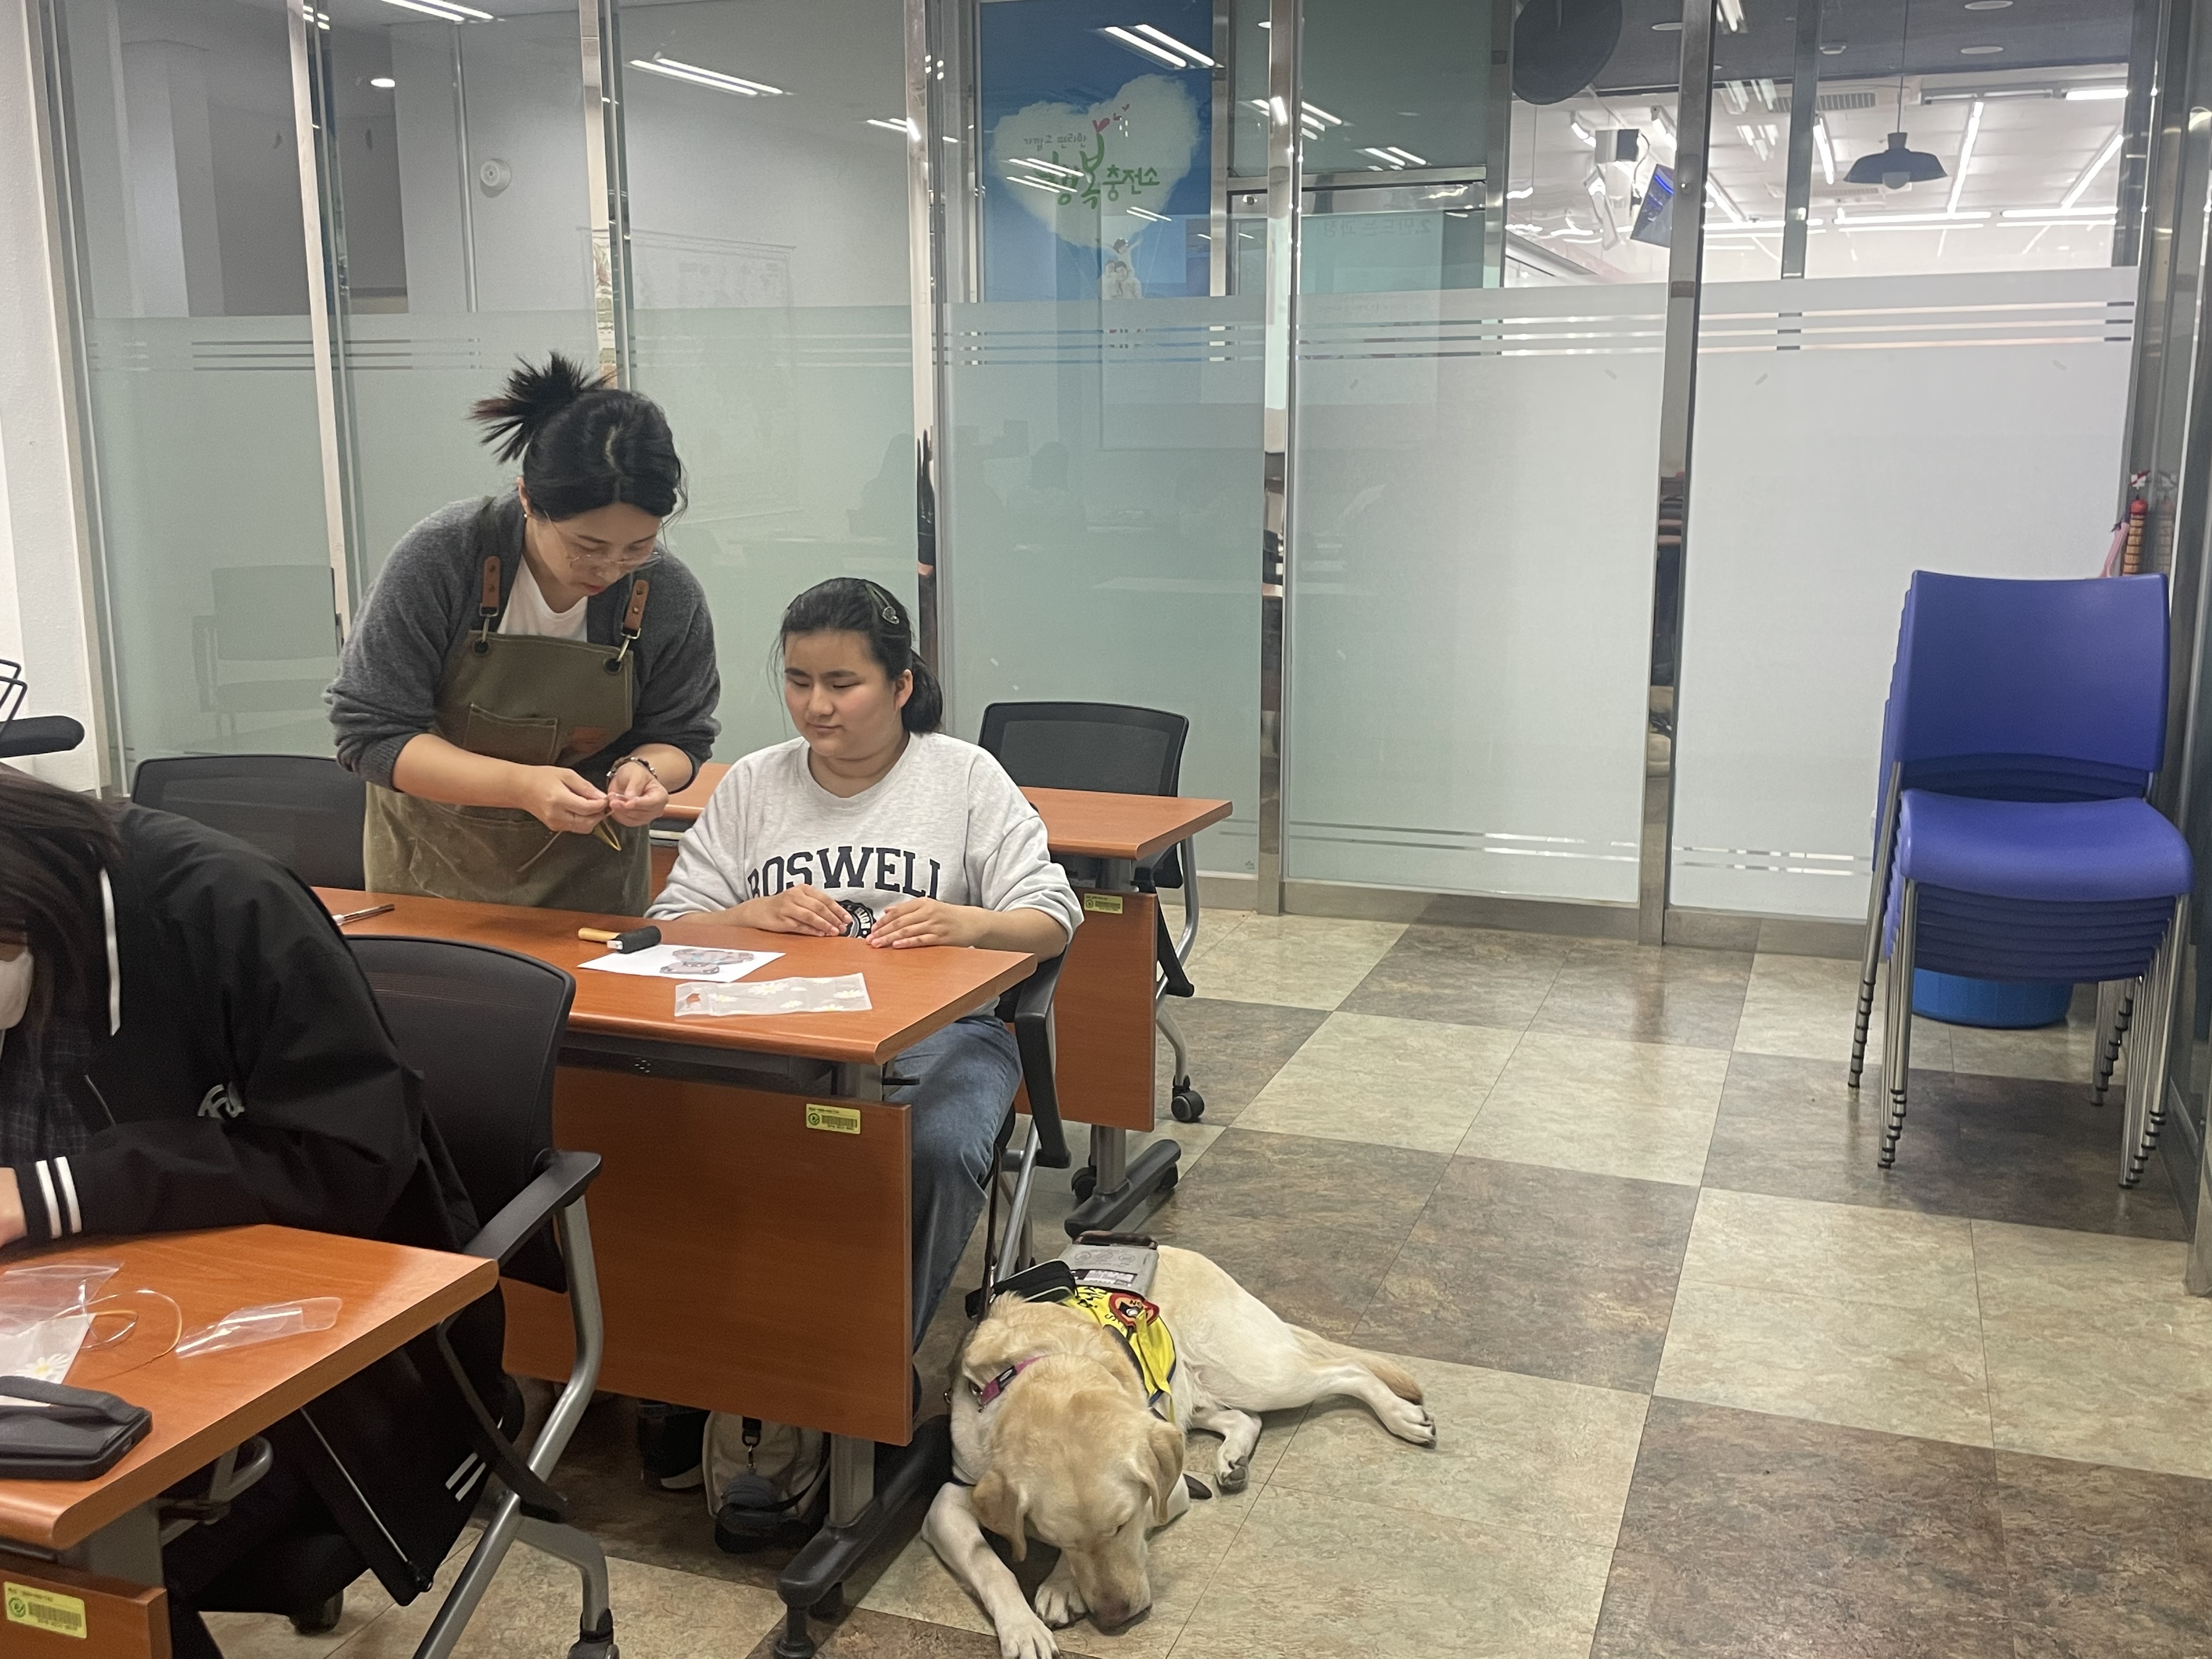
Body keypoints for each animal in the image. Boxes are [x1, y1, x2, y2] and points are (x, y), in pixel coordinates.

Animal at [924, 1244, 1434, 1659]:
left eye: (1124, 1524)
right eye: (1051, 1537)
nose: (1116, 1618)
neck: (1041, 1369)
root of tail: (1185, 1252)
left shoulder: (1169, 1493)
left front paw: (1059, 1585)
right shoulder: (949, 1500)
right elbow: (991, 1565)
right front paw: (1023, 1628)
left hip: (1254, 1373)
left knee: (1347, 1371)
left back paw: (1403, 1417)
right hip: (1189, 1394)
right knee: (1245, 1418)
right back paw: (1232, 1462)